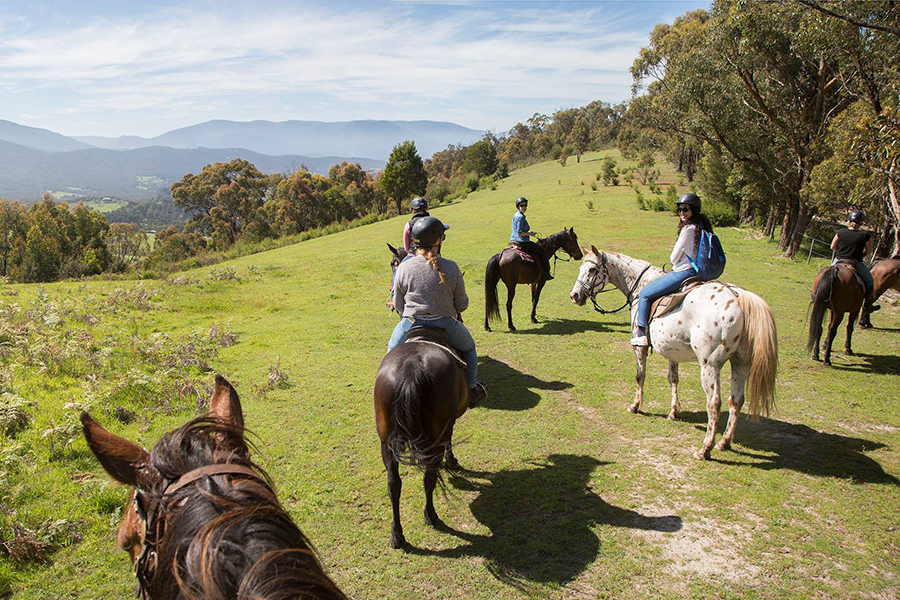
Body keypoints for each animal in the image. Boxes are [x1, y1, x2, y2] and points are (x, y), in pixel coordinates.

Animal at [372, 330, 474, 552]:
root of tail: (411, 368)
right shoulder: (447, 427)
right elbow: (449, 441)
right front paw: (452, 461)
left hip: (387, 443)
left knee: (393, 484)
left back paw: (397, 535)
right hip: (434, 437)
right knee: (429, 478)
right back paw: (431, 515)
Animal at [572, 247, 776, 460]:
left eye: (592, 269)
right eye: (581, 268)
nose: (575, 295)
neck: (641, 284)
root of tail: (738, 297)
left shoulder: (639, 347)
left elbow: (640, 376)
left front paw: (635, 406)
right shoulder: (672, 351)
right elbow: (673, 378)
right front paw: (673, 411)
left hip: (710, 366)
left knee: (714, 403)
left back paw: (705, 449)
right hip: (740, 363)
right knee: (736, 400)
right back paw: (724, 442)